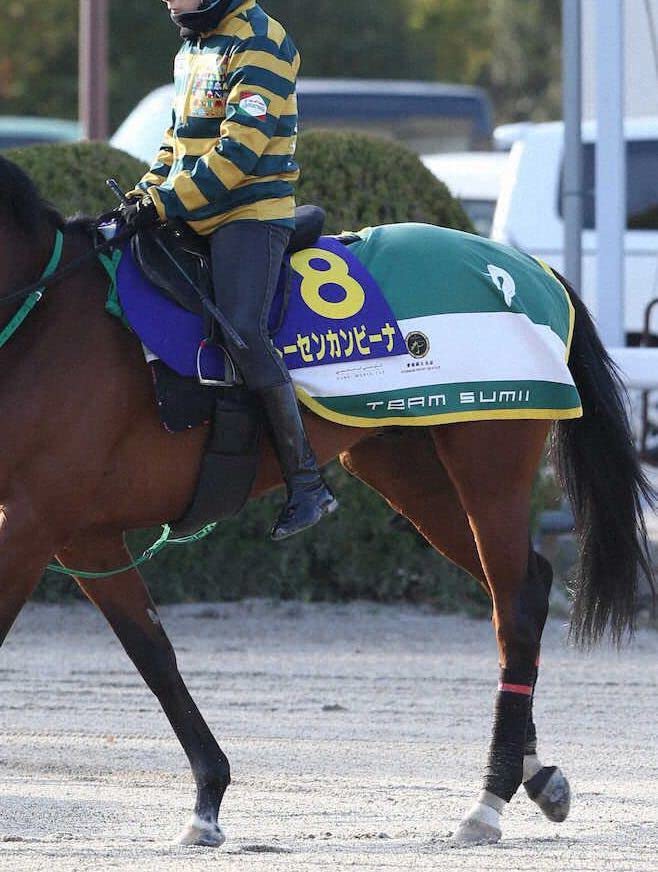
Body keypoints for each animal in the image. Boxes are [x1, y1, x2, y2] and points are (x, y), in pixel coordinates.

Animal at [0, 154, 653, 847]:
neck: (44, 320)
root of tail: (526, 269)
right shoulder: (82, 535)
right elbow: (153, 654)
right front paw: (207, 795)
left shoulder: (36, 523)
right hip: (408, 471)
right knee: (520, 585)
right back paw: (536, 773)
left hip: (489, 466)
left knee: (518, 606)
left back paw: (488, 799)